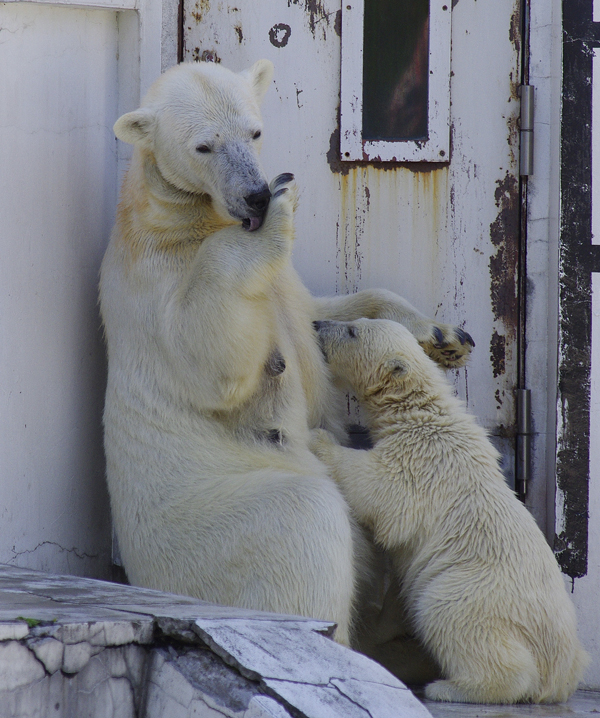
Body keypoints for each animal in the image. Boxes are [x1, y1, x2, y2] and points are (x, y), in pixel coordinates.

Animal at [99, 60, 474, 648]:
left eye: (255, 131)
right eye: (204, 145)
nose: (255, 193)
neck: (176, 220)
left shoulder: (290, 292)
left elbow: (324, 312)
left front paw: (443, 335)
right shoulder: (152, 285)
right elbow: (211, 354)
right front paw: (280, 205)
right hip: (208, 518)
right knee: (306, 517)